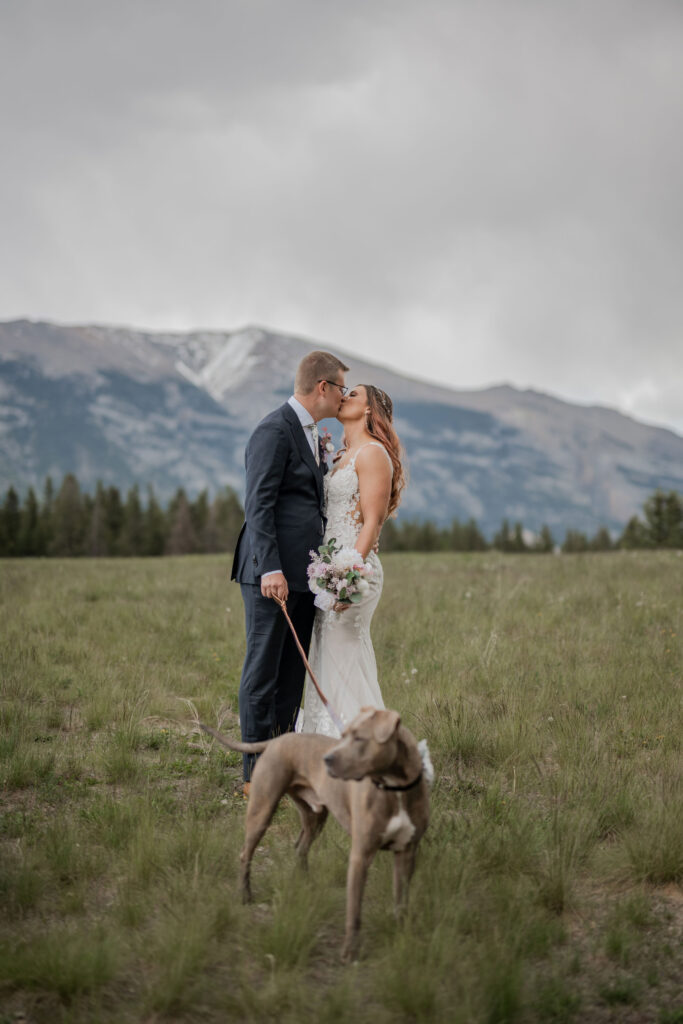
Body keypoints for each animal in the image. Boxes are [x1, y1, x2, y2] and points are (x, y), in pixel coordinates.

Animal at [200, 708, 430, 962]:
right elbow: (354, 911)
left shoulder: (407, 853)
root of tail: (278, 739)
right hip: (262, 809)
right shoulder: (360, 856)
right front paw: (350, 952)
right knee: (245, 853)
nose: (327, 760)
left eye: (359, 738)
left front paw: (402, 936)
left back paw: (306, 884)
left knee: (300, 847)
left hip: (315, 816)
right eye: (344, 735)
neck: (395, 788)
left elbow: (401, 900)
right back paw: (245, 895)